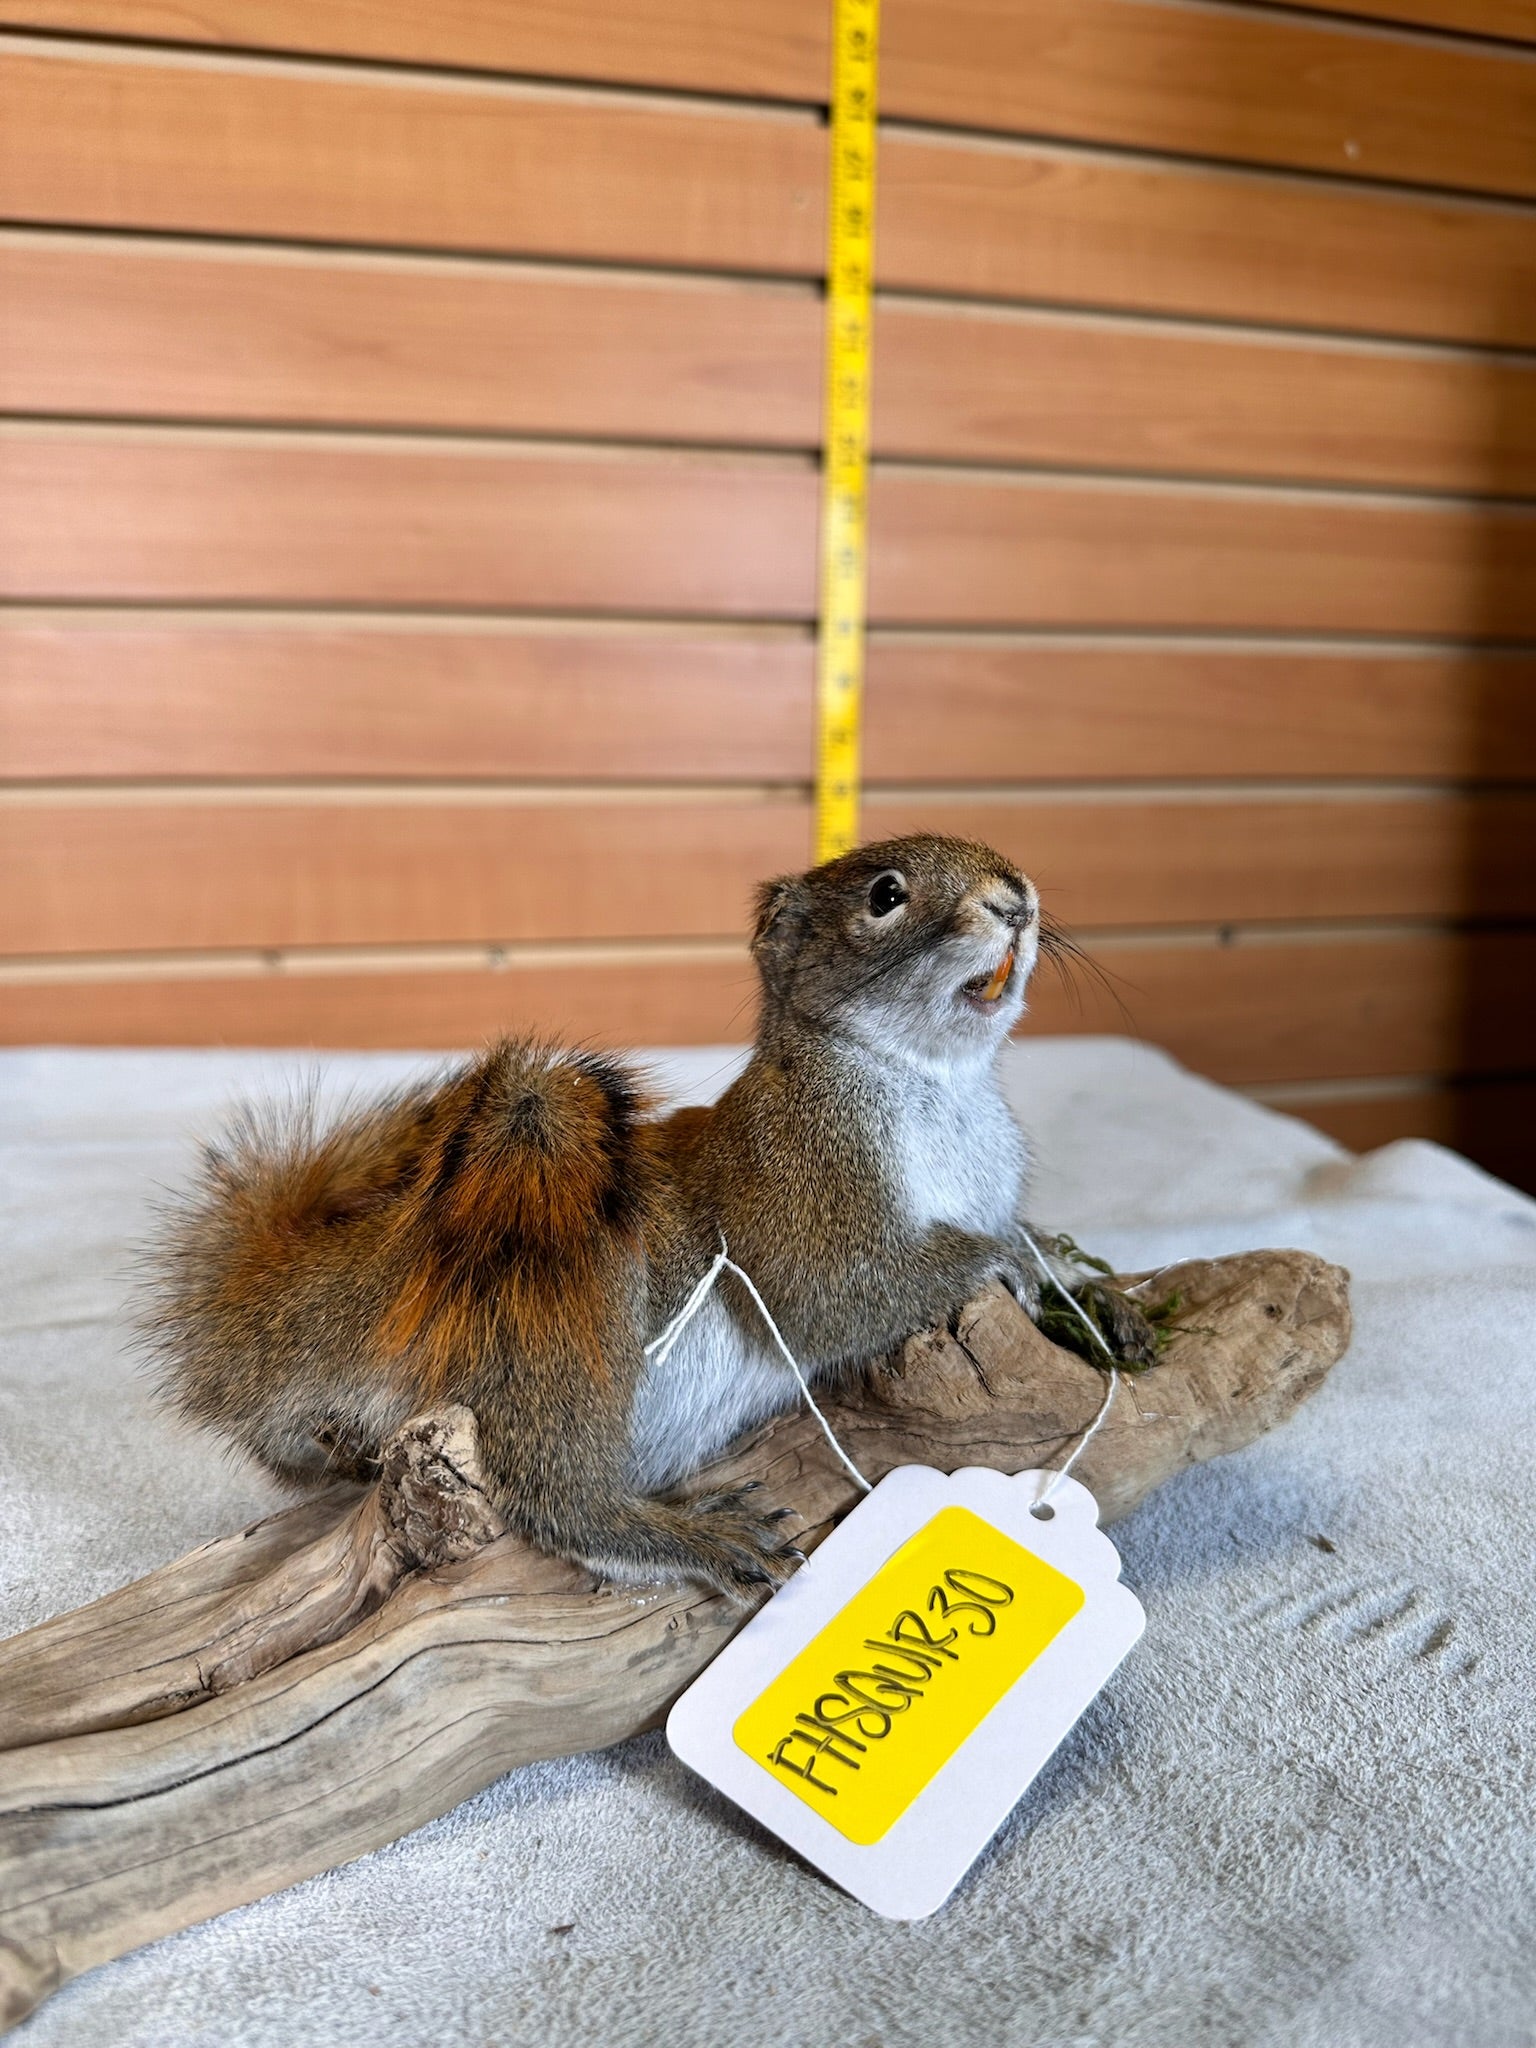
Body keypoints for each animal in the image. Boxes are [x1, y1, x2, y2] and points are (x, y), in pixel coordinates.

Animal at [145, 833, 1154, 1601]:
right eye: (885, 895)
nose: (1015, 900)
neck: (940, 1084)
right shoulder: (797, 1194)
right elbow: (835, 1295)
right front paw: (1004, 1263)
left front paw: (1096, 1294)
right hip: (559, 1308)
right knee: (553, 1493)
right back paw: (678, 1534)